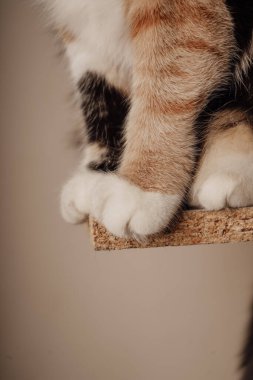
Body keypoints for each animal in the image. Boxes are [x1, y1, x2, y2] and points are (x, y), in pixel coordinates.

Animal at [37, 0, 253, 238]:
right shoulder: (81, 28)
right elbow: (97, 90)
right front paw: (97, 177)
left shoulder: (180, 11)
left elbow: (166, 84)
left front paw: (140, 190)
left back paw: (228, 173)